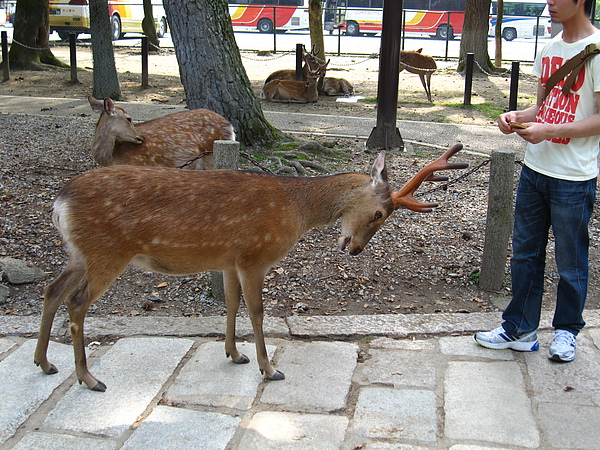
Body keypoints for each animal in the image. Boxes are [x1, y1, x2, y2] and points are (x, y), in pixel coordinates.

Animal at [34, 143, 468, 390]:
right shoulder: (255, 255)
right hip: (107, 252)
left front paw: (234, 354)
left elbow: (231, 304)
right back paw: (89, 378)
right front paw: (268, 368)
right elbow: (258, 311)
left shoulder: (229, 259)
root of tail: (58, 203)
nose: (356, 249)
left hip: (81, 253)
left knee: (51, 289)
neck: (297, 209)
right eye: (379, 213)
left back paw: (45, 363)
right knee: (76, 302)